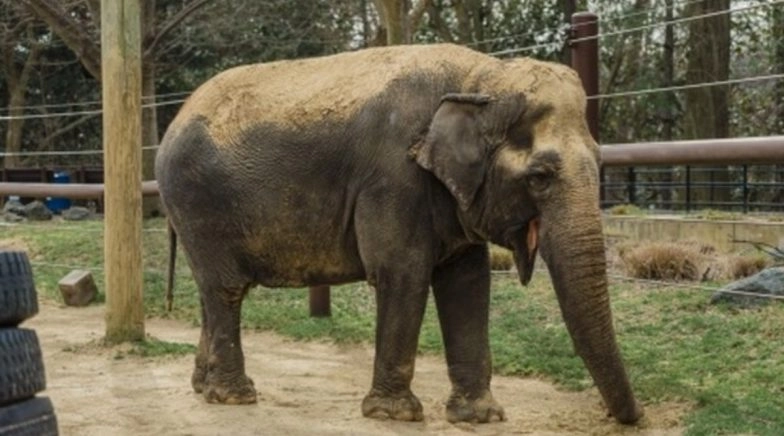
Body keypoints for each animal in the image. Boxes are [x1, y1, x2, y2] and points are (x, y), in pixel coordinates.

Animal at [154, 43, 643, 425]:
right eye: (540, 177)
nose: (630, 418)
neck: (482, 78)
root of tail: (173, 120)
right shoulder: (393, 178)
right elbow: (402, 273)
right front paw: (395, 415)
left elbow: (468, 283)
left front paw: (481, 417)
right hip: (198, 202)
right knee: (226, 289)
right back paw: (234, 397)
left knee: (211, 292)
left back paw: (202, 387)